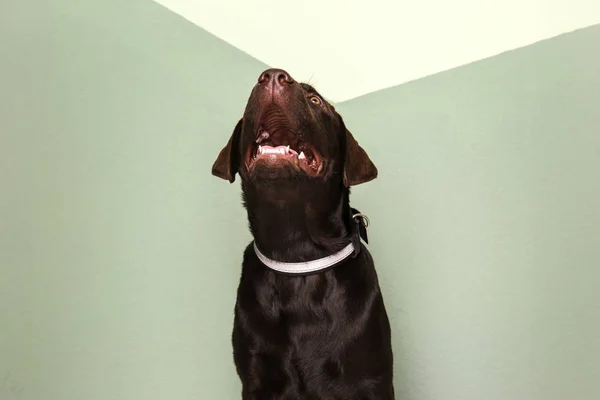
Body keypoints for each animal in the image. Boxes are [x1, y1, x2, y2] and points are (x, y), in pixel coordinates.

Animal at [211, 67, 394, 398]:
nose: (272, 76)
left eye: (315, 100)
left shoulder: (371, 380)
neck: (296, 252)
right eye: (249, 98)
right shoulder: (255, 378)